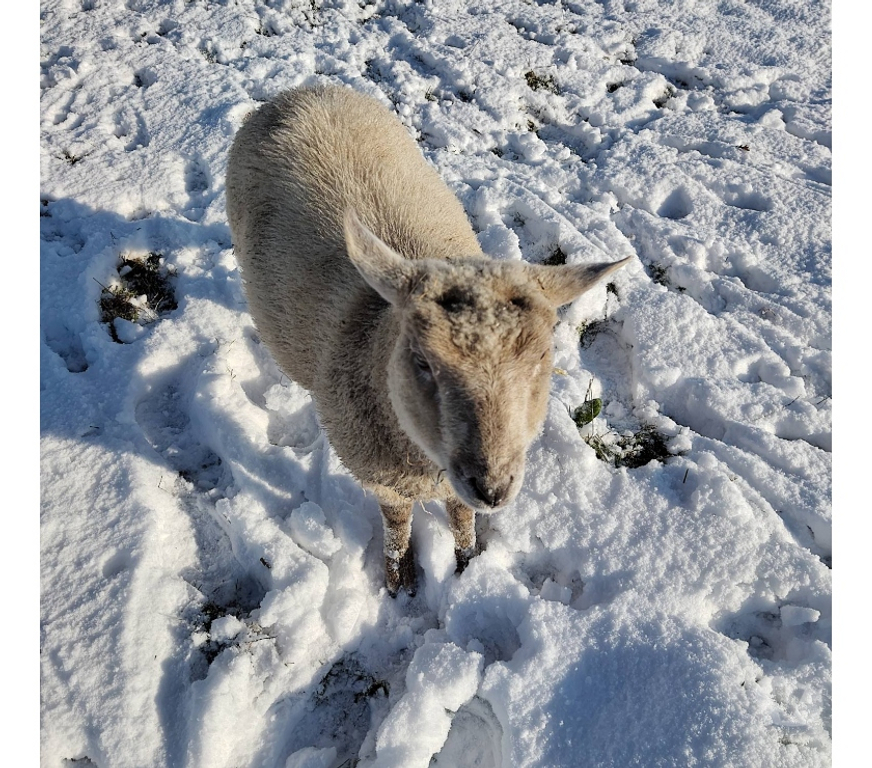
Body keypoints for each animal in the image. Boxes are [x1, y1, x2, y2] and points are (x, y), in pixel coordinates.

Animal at [225, 85, 630, 596]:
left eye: (543, 357)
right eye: (421, 362)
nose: (492, 488)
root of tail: (303, 92)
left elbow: (460, 516)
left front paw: (466, 562)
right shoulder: (381, 478)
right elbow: (397, 525)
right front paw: (398, 579)